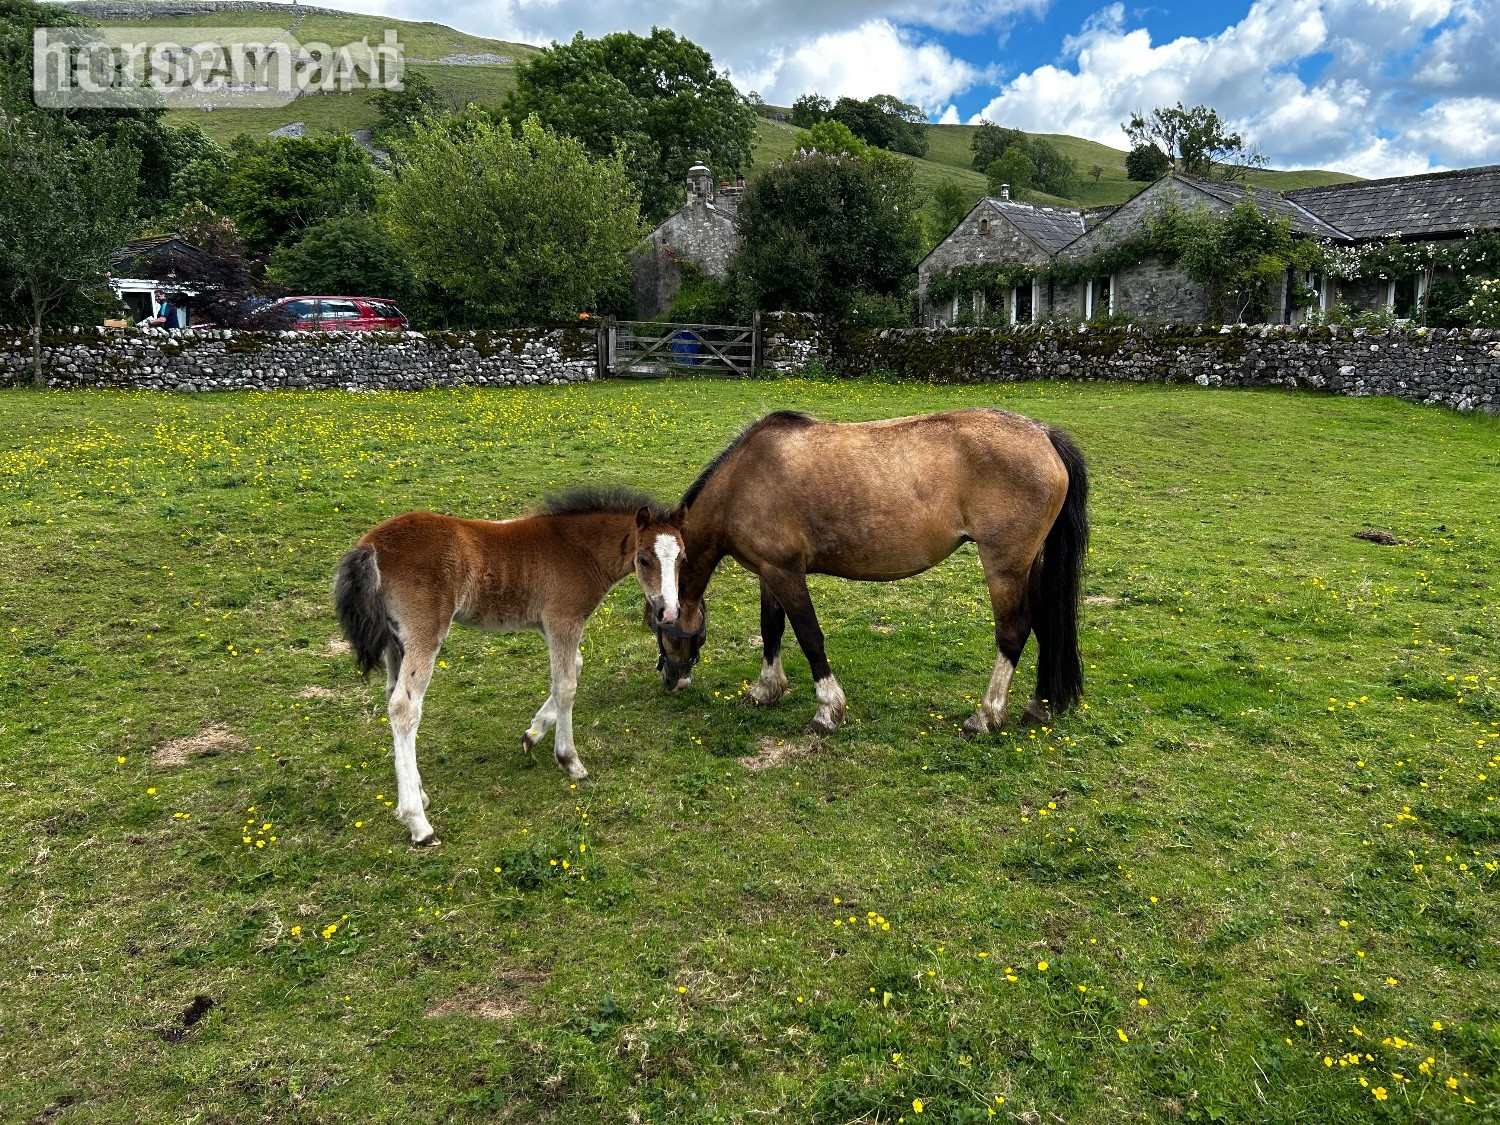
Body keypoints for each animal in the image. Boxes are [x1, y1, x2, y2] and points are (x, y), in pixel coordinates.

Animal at [334, 487, 684, 845]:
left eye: (682, 559)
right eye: (644, 559)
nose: (668, 612)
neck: (579, 549)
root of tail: (371, 545)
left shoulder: (549, 625)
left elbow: (574, 665)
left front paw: (532, 734)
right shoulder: (563, 619)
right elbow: (566, 686)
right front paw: (570, 761)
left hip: (396, 642)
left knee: (393, 697)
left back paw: (419, 794)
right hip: (424, 632)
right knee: (405, 707)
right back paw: (418, 823)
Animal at [655, 409, 1088, 736]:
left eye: (658, 625)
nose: (670, 680)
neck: (745, 479)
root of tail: (1043, 434)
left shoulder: (785, 573)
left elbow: (809, 636)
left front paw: (828, 711)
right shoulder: (768, 573)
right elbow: (770, 629)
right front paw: (766, 690)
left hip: (1004, 566)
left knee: (1014, 631)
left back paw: (986, 716)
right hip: (1026, 566)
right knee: (1047, 623)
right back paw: (1040, 707)